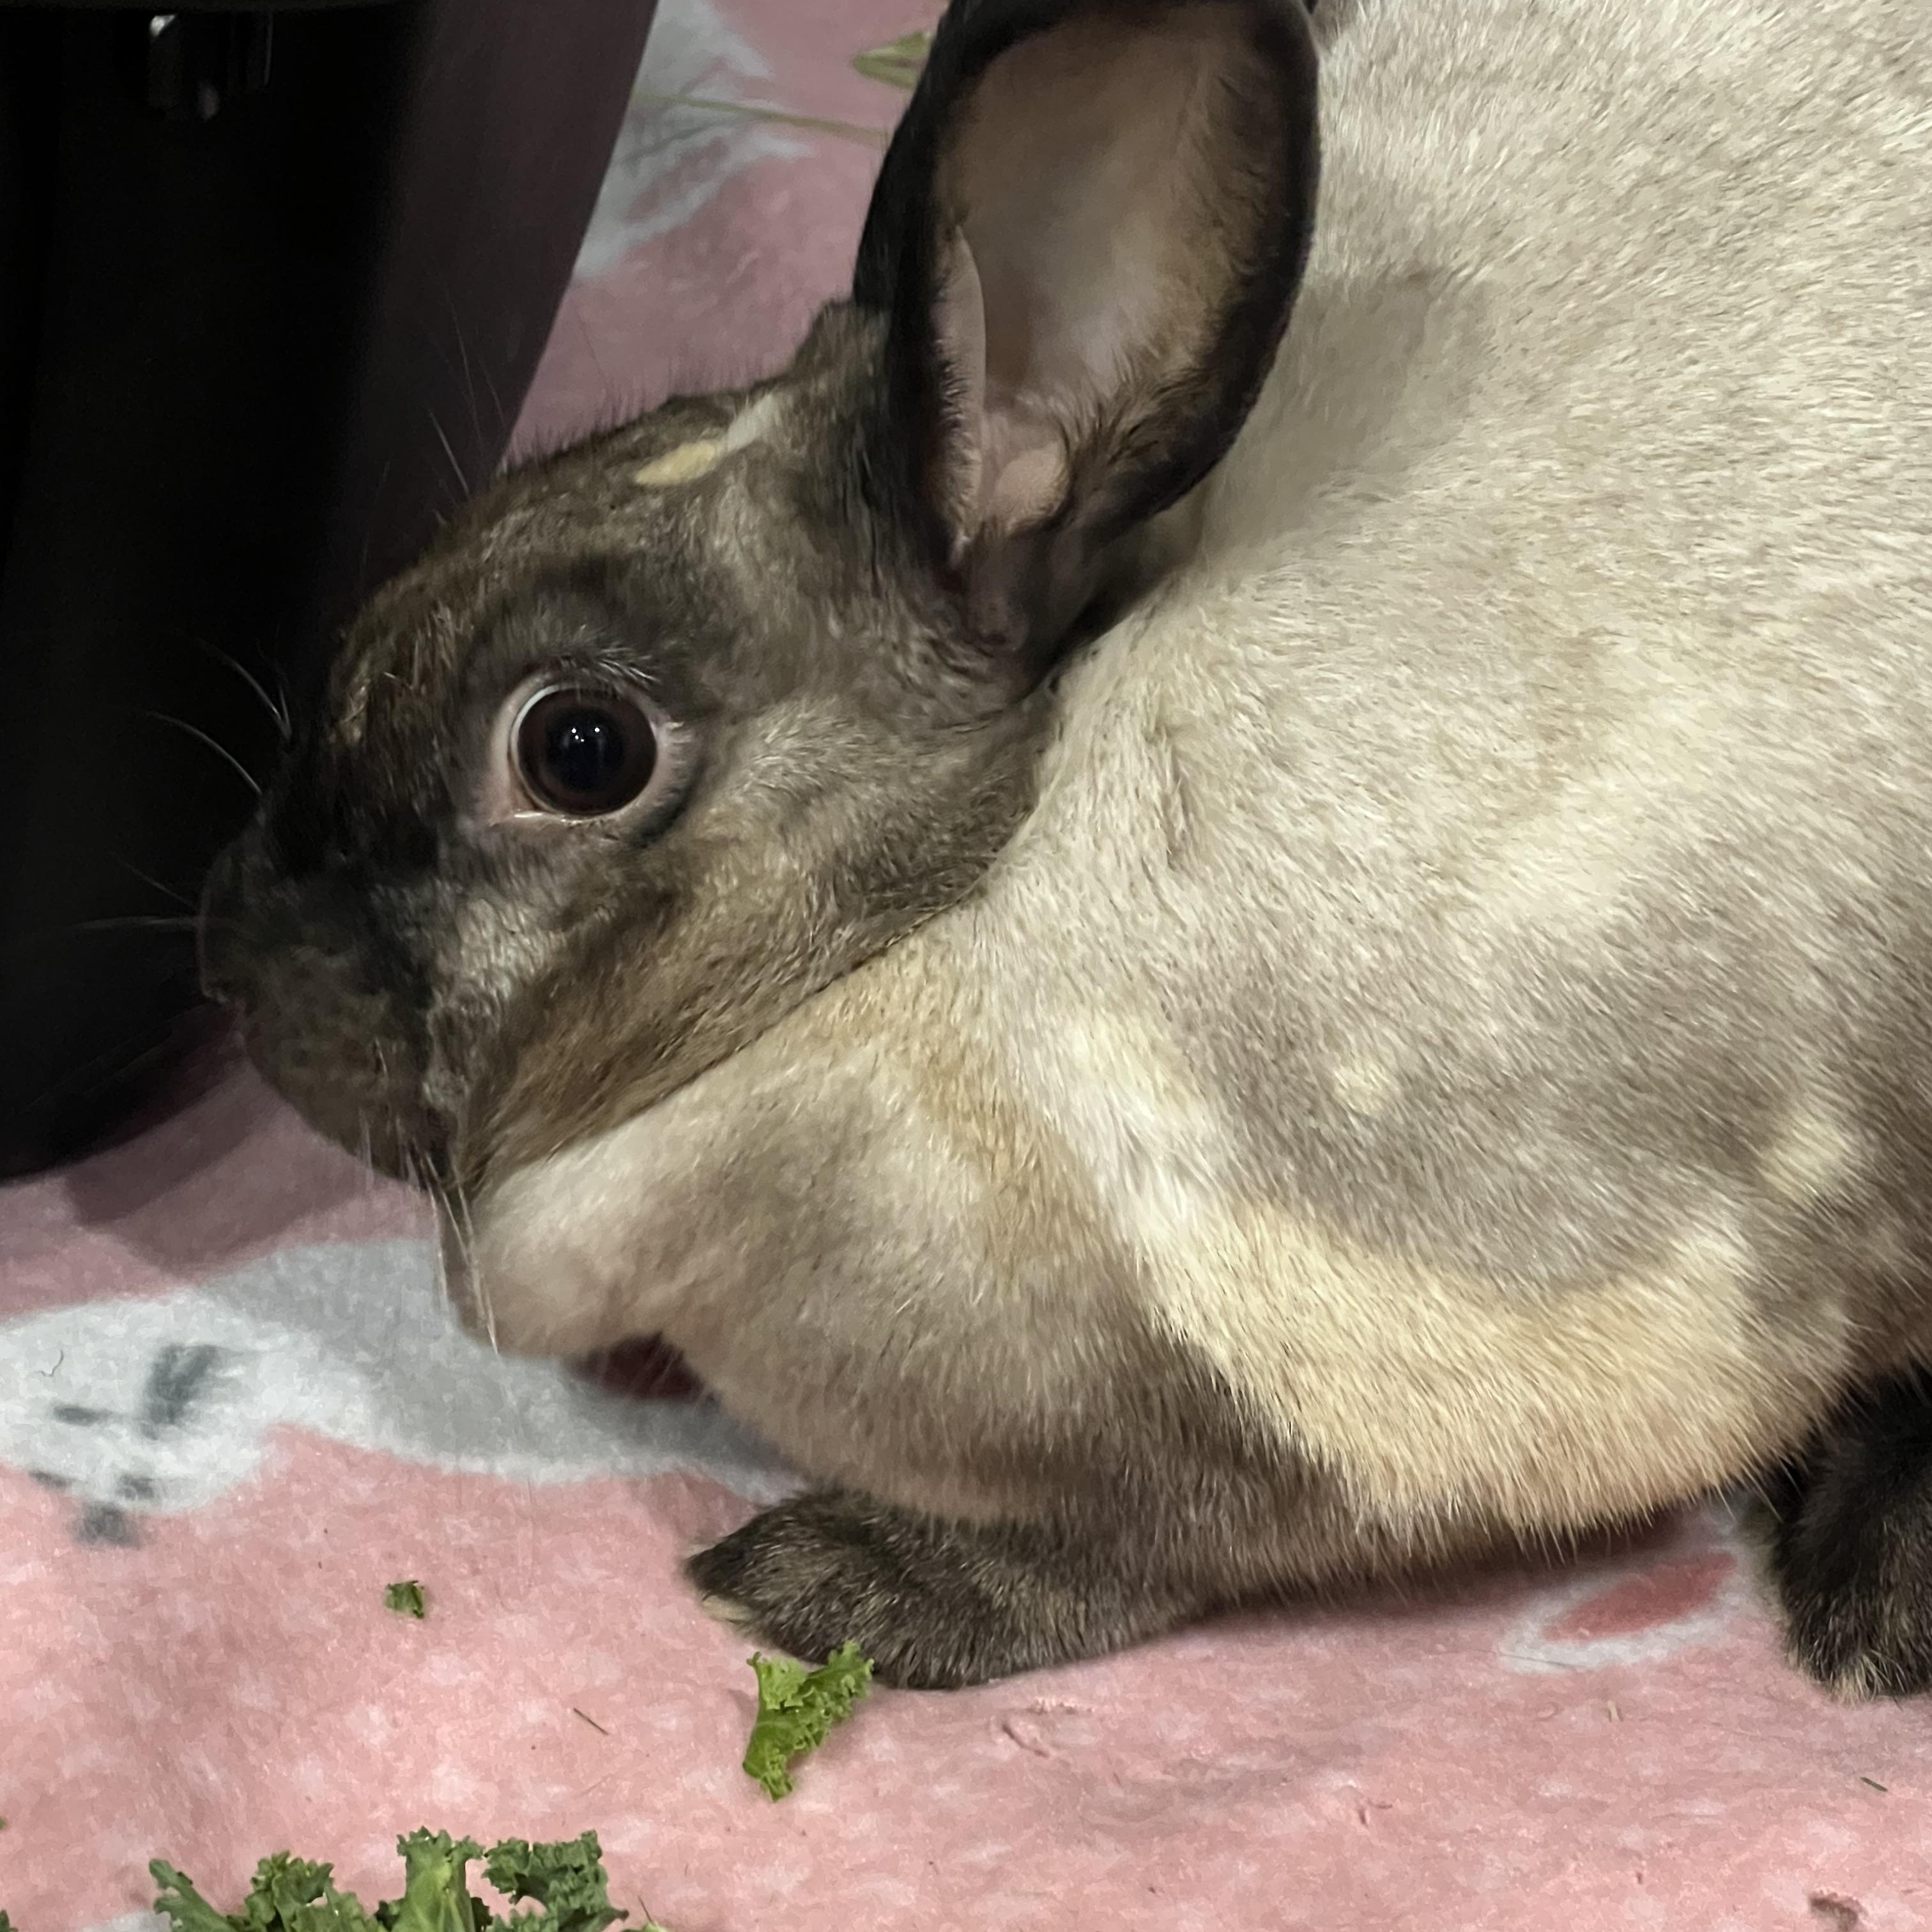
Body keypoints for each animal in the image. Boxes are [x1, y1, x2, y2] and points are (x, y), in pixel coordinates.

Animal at [200, 0, 1932, 1690]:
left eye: (578, 749)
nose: (240, 958)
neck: (956, 886)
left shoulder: (1331, 1402)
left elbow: (1125, 1561)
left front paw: (825, 1587)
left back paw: (1869, 1600)